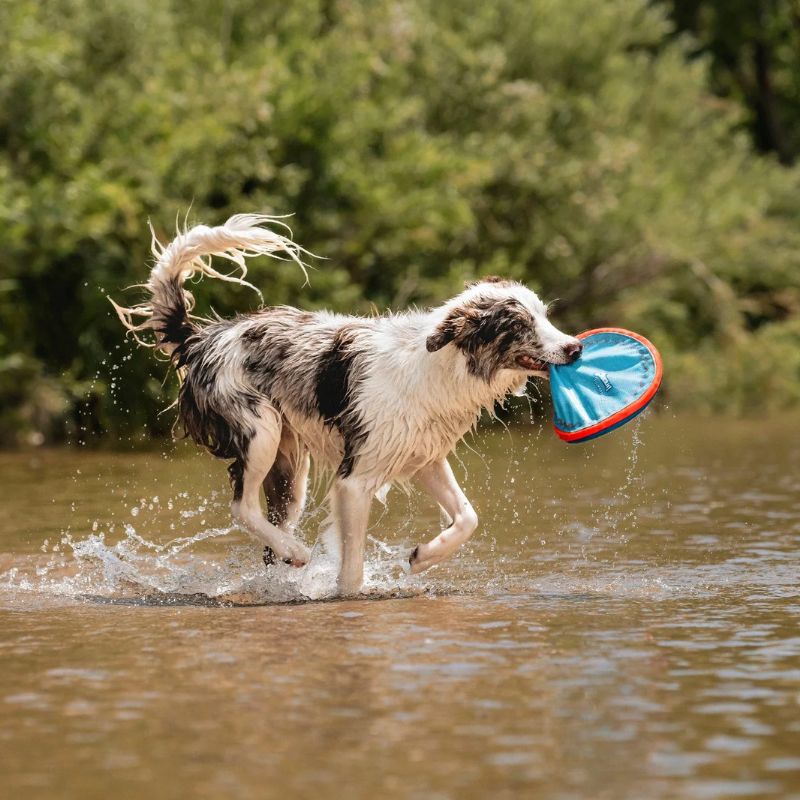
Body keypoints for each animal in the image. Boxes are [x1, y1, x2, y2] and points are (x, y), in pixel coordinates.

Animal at [114, 212, 580, 592]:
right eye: (519, 325)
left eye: (544, 315)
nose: (575, 348)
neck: (440, 365)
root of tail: (201, 338)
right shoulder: (354, 479)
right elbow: (352, 574)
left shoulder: (424, 457)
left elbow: (468, 517)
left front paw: (422, 557)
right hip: (260, 429)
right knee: (240, 506)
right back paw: (296, 551)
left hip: (289, 470)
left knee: (268, 535)